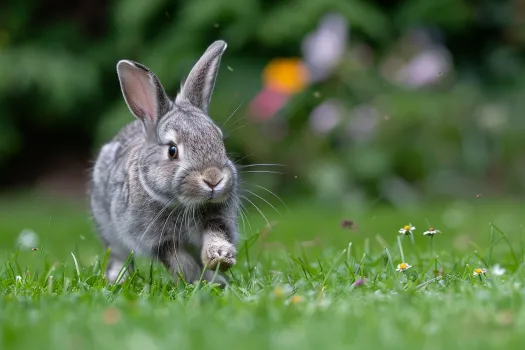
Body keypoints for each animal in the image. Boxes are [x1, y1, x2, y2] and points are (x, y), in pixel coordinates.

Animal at [89, 41, 237, 288]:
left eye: (220, 139)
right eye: (172, 150)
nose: (213, 179)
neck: (184, 204)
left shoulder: (217, 218)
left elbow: (214, 235)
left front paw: (220, 258)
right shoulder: (156, 237)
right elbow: (179, 260)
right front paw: (195, 281)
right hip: (108, 226)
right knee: (119, 253)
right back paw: (118, 278)